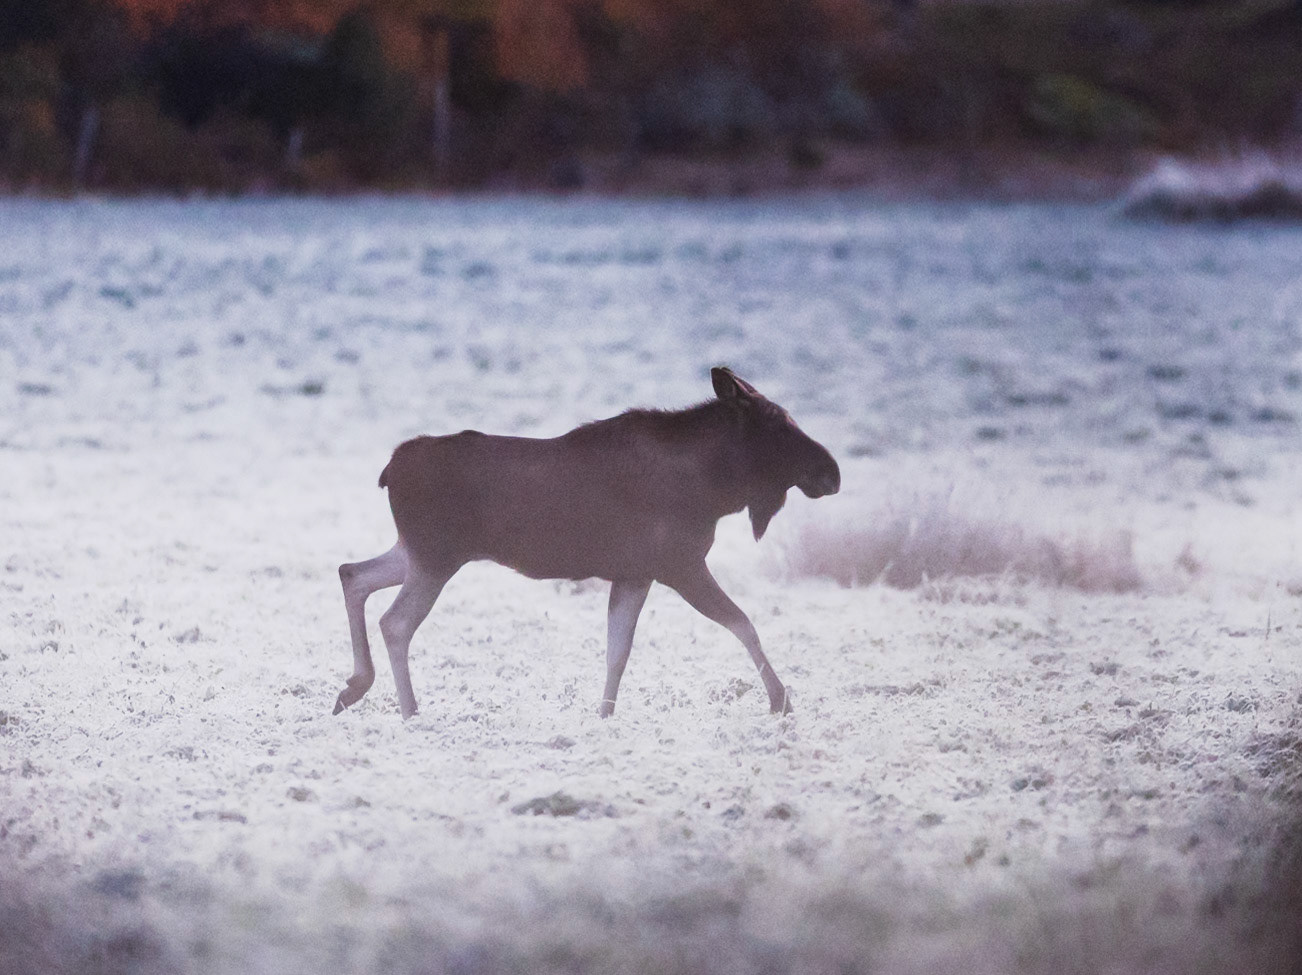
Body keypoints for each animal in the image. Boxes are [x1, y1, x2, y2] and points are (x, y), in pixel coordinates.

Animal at [334, 367, 841, 720]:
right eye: (778, 423)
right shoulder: (680, 565)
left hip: (419, 551)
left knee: (353, 573)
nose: (832, 472)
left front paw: (603, 716)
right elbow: (743, 623)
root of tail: (388, 471)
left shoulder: (635, 574)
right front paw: (781, 701)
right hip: (436, 557)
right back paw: (409, 711)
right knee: (395, 622)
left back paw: (353, 686)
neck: (715, 484)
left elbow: (618, 652)